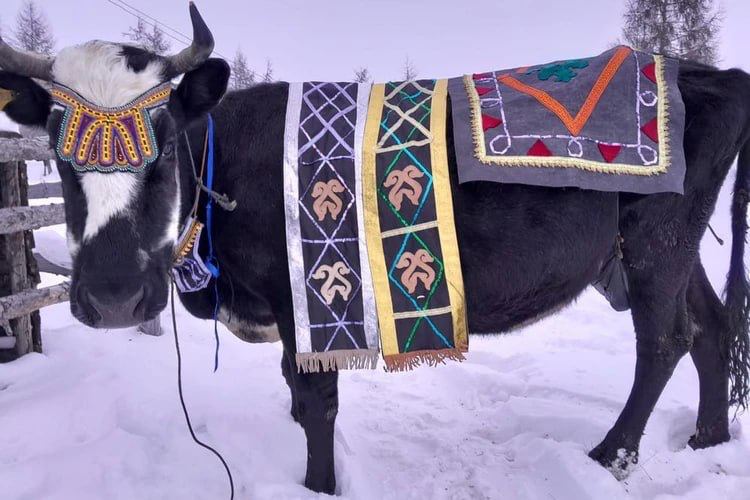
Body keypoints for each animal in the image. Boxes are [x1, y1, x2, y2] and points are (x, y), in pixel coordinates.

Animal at [1, 4, 749, 495]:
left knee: (665, 340)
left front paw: (319, 484)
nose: (114, 299)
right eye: (59, 152)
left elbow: (314, 401)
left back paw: (611, 455)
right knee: (712, 325)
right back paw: (708, 436)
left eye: (163, 140)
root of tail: (716, 74)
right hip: (669, 248)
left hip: (656, 241)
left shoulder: (306, 301)